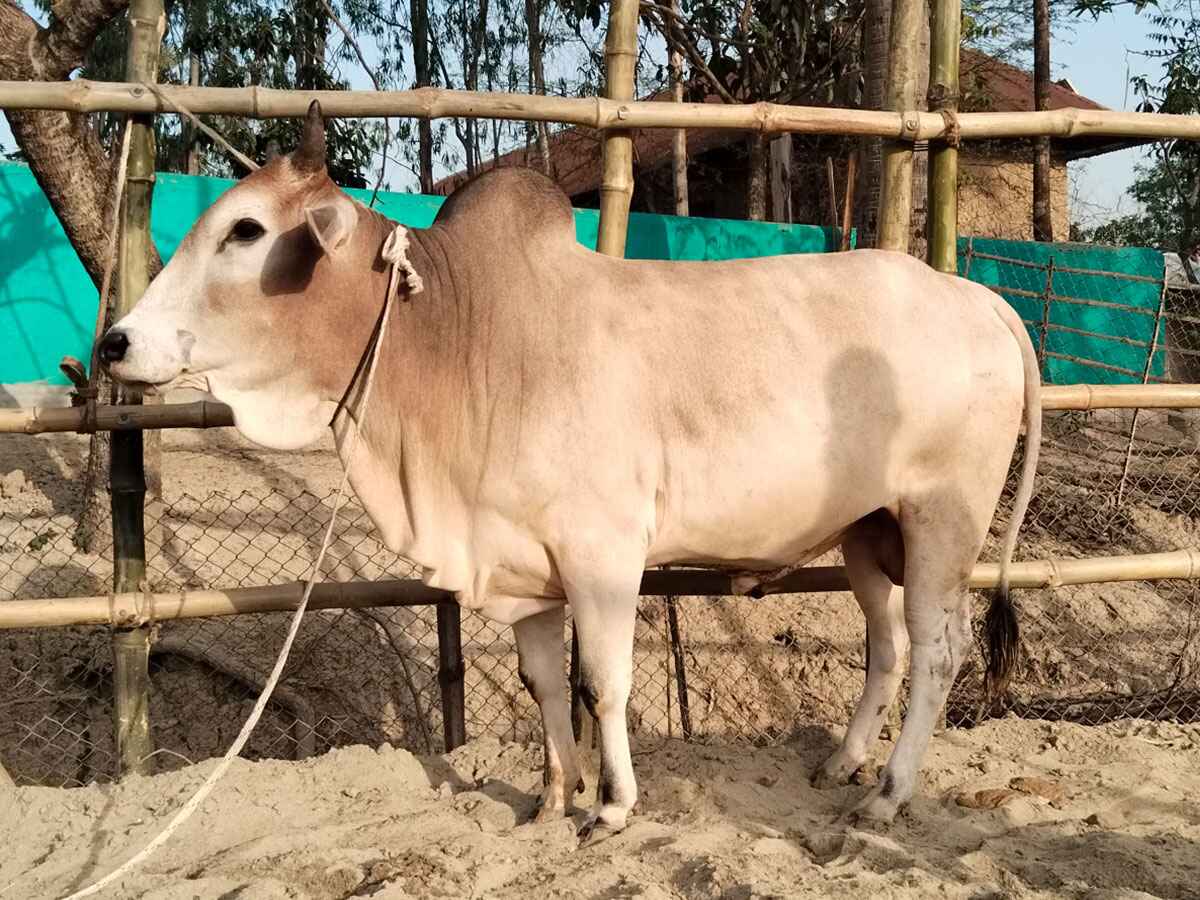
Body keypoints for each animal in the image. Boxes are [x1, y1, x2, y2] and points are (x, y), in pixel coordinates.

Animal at [100, 101, 1040, 843]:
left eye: (246, 230)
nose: (115, 343)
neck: (463, 333)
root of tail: (977, 297)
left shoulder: (603, 553)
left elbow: (604, 682)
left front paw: (613, 805)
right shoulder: (524, 567)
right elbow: (545, 682)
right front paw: (553, 798)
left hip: (942, 522)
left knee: (938, 651)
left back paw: (888, 795)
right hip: (867, 533)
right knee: (887, 648)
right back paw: (843, 763)